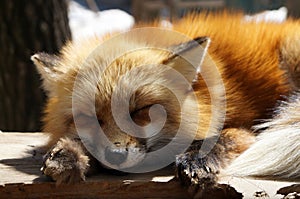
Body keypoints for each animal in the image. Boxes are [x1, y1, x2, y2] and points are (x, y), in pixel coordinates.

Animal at [31, 12, 300, 197]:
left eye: (139, 110)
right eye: (88, 117)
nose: (115, 156)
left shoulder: (248, 126)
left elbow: (224, 138)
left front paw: (196, 160)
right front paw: (68, 154)